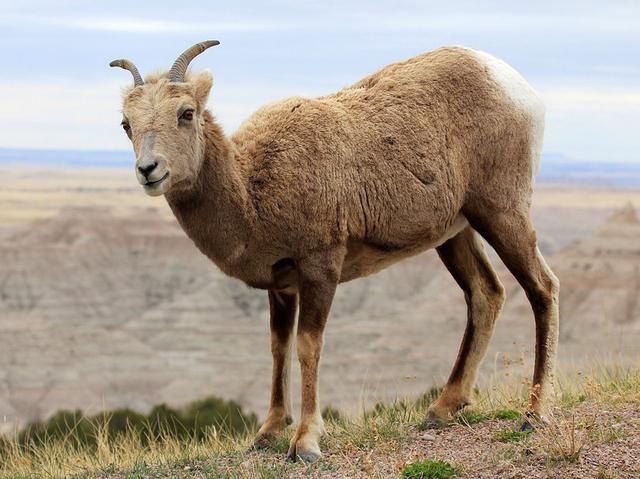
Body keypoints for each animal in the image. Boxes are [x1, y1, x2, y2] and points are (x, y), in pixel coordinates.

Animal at [111, 41, 560, 462]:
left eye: (186, 112)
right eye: (126, 124)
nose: (149, 170)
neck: (252, 186)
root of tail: (512, 84)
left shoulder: (320, 267)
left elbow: (308, 345)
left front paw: (305, 443)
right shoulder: (282, 285)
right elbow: (278, 348)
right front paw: (268, 434)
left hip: (501, 212)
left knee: (542, 289)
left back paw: (534, 414)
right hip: (456, 233)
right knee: (486, 294)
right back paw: (441, 409)